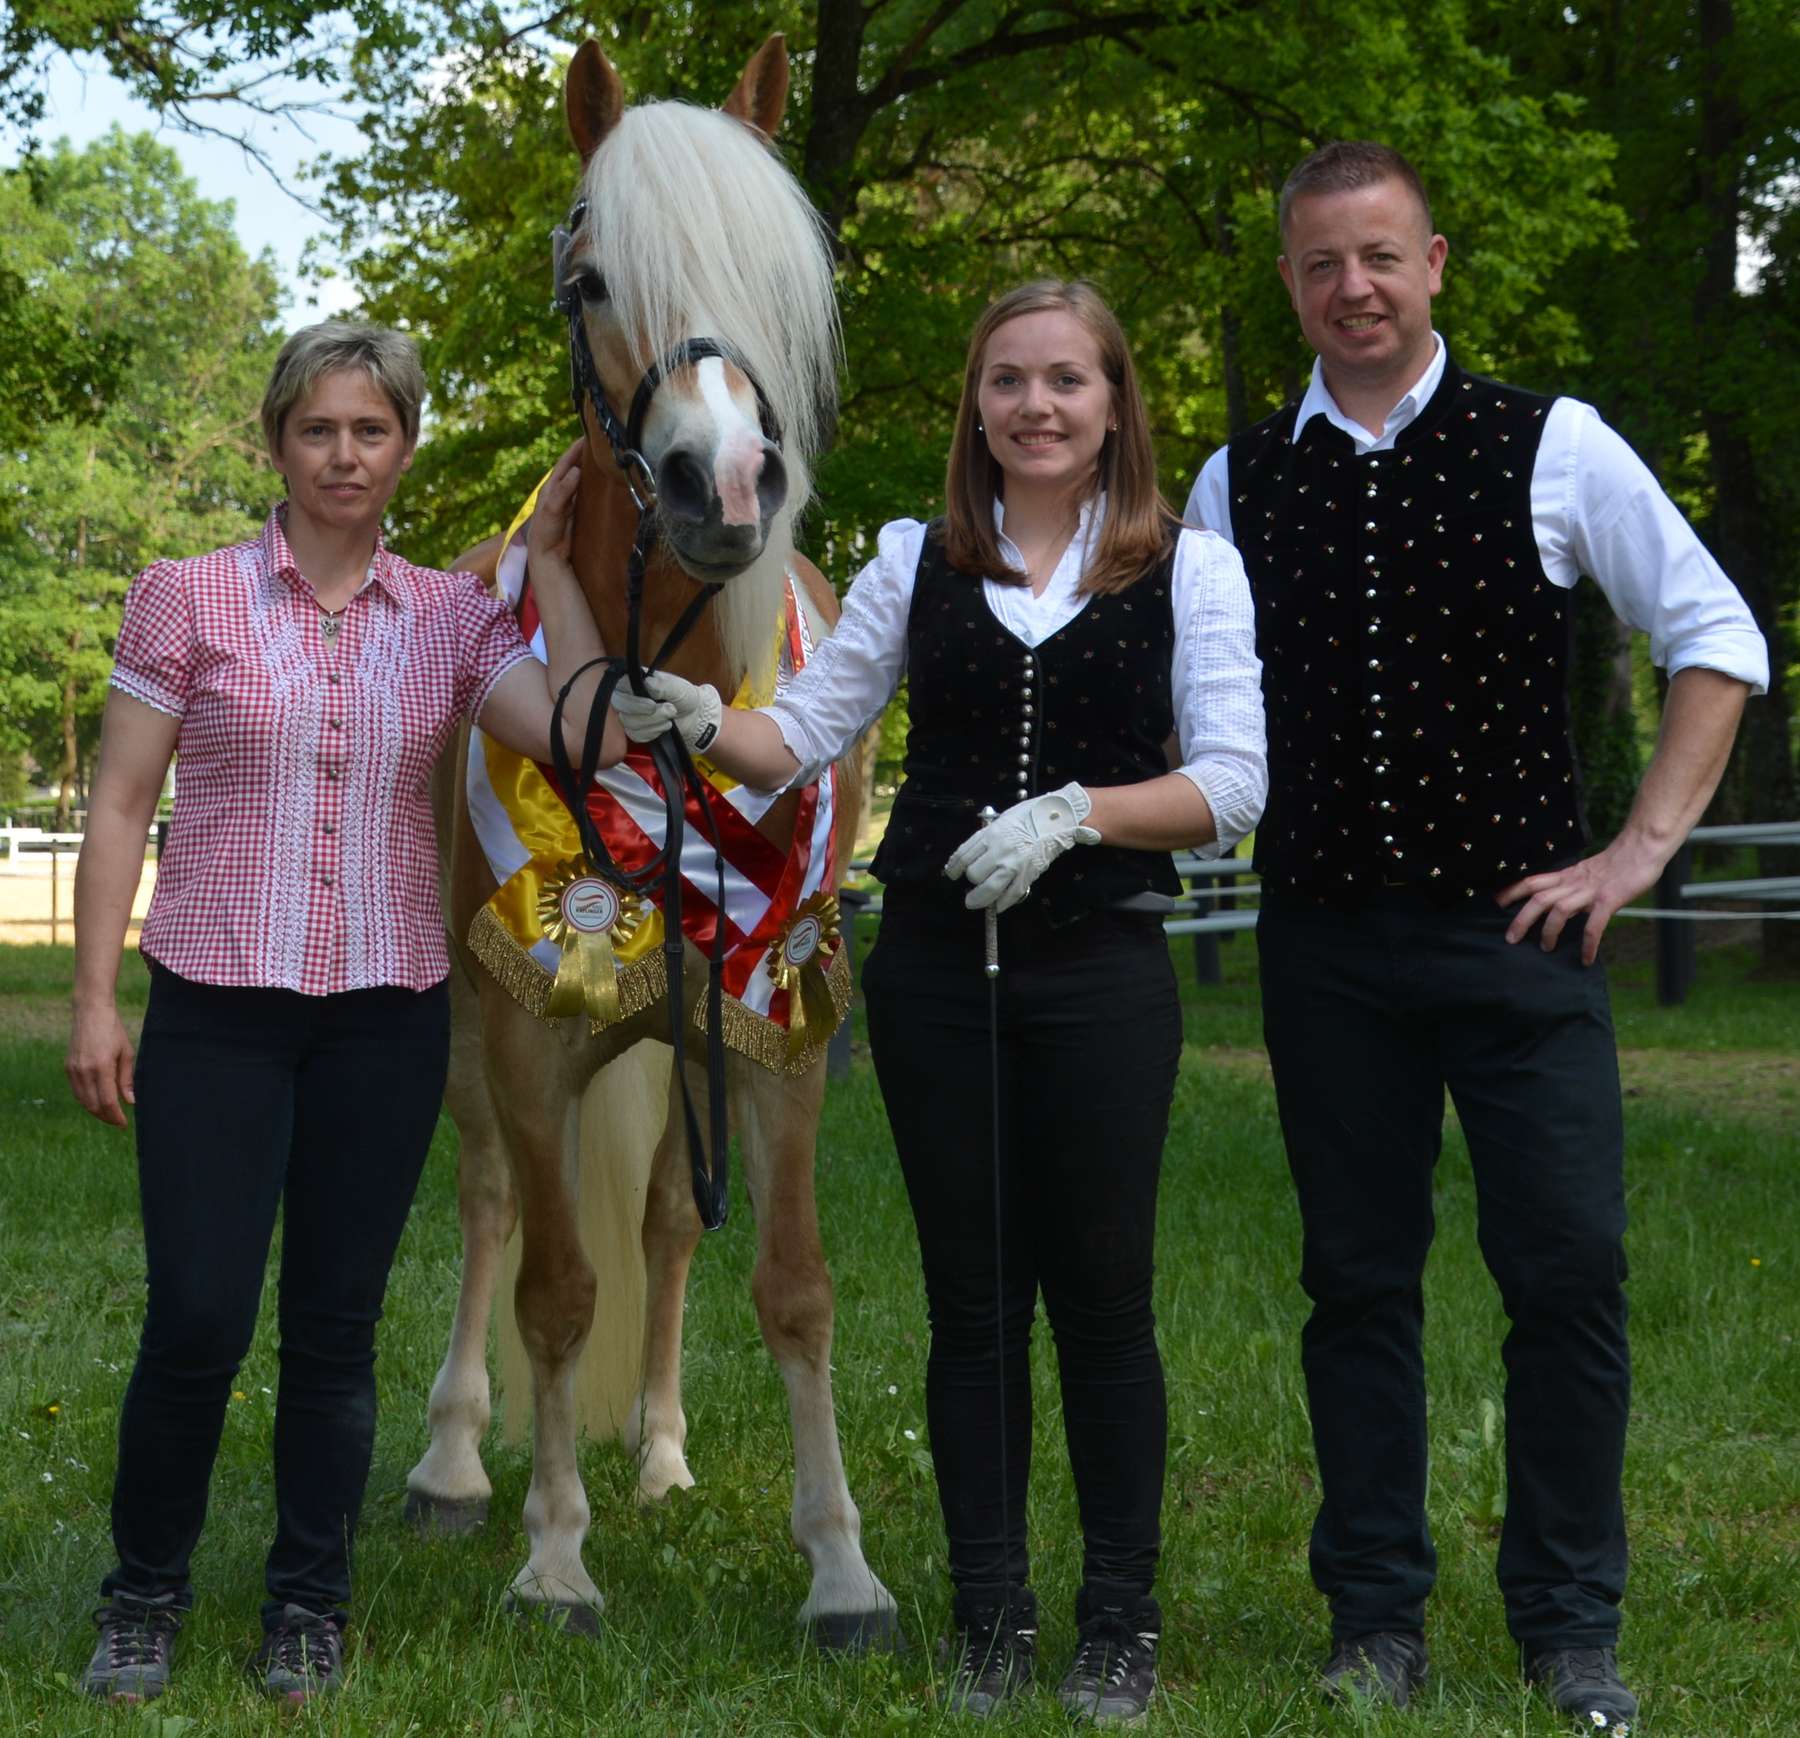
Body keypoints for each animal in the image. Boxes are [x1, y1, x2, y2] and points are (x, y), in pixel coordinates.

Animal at [401, 37, 892, 1648]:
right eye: (593, 276)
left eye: (782, 278)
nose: (723, 486)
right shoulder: (527, 1021)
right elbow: (555, 1289)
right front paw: (555, 1554)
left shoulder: (781, 1020)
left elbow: (793, 1284)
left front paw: (839, 1564)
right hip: (473, 1027)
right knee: (493, 1204)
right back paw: (451, 1462)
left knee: (674, 1220)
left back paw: (665, 1450)